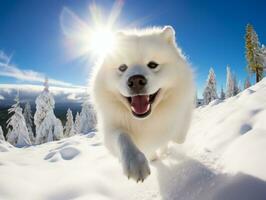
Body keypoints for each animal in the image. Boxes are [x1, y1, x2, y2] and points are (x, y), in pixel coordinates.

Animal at [90, 26, 194, 183]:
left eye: (152, 65)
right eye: (122, 67)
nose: (136, 81)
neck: (145, 120)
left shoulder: (184, 106)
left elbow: (179, 134)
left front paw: (174, 138)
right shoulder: (110, 128)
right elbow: (122, 136)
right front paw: (135, 162)